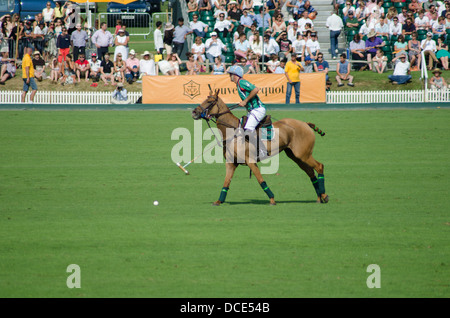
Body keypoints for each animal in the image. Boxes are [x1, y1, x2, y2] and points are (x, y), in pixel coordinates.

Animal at [192, 90, 328, 207]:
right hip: (296, 156)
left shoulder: (250, 161)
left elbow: (260, 180)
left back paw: (324, 196)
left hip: (303, 154)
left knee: (319, 166)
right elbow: (226, 182)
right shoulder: (231, 163)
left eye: (210, 101)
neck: (233, 133)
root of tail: (306, 124)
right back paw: (319, 198)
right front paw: (218, 201)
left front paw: (272, 200)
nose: (194, 112)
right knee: (310, 172)